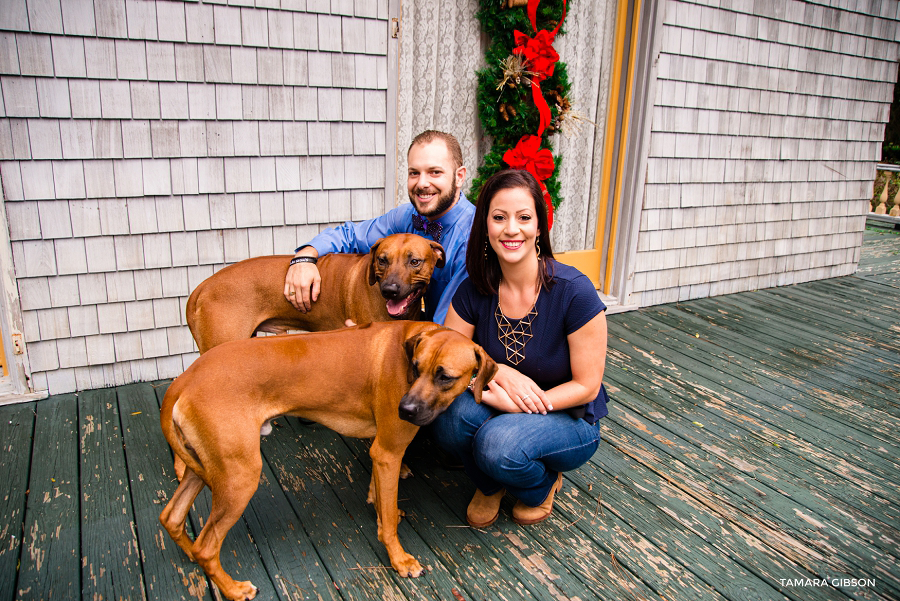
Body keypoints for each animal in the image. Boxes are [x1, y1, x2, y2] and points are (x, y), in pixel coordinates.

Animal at [158, 324, 496, 600]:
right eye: (415, 367)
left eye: (445, 377)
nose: (406, 410)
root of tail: (184, 378)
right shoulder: (389, 452)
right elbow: (388, 523)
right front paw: (399, 559)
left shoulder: (380, 455)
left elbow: (380, 498)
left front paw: (380, 507)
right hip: (239, 477)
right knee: (207, 546)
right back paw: (232, 588)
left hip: (205, 466)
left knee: (171, 517)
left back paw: (192, 555)